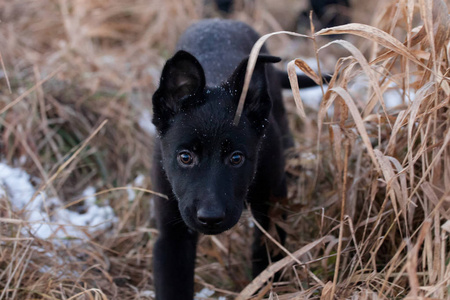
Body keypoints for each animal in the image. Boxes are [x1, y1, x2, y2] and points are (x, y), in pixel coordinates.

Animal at [151, 19, 292, 298]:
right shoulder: (172, 234)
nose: (210, 217)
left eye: (236, 158)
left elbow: (266, 264)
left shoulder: (272, 209)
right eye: (185, 157)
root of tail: (219, 21)